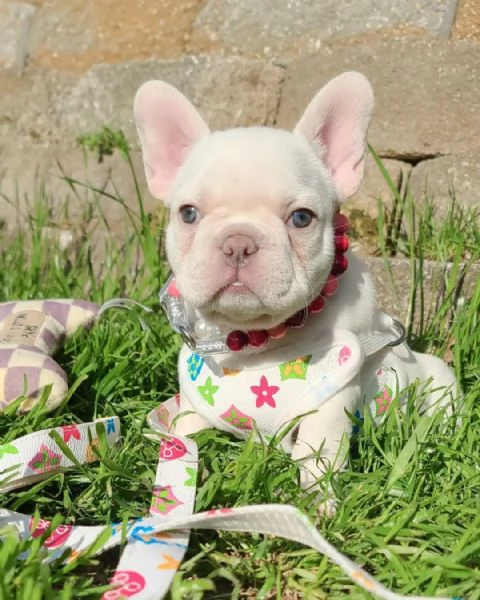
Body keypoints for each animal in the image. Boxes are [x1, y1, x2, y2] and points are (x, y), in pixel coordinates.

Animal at [134, 72, 458, 512]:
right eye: (188, 213)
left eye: (301, 218)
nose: (238, 242)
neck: (255, 346)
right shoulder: (193, 408)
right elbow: (184, 437)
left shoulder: (332, 403)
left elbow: (317, 452)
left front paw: (319, 503)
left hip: (441, 382)